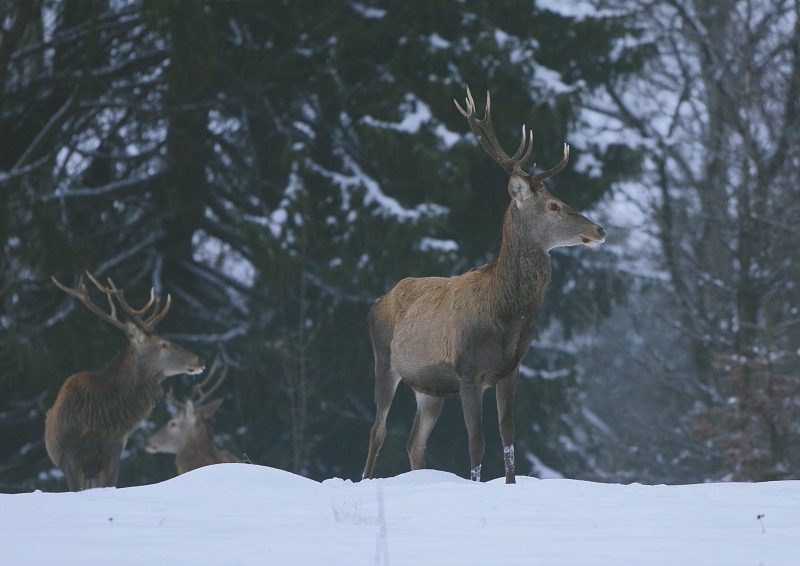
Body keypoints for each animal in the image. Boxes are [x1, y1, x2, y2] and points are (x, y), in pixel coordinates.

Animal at [362, 87, 608, 484]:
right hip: (383, 358)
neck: (506, 313)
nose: (599, 229)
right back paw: (366, 479)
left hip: (429, 387)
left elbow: (508, 436)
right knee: (378, 429)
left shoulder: (511, 369)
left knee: (415, 441)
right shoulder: (468, 371)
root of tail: (377, 301)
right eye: (554, 205)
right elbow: (476, 442)